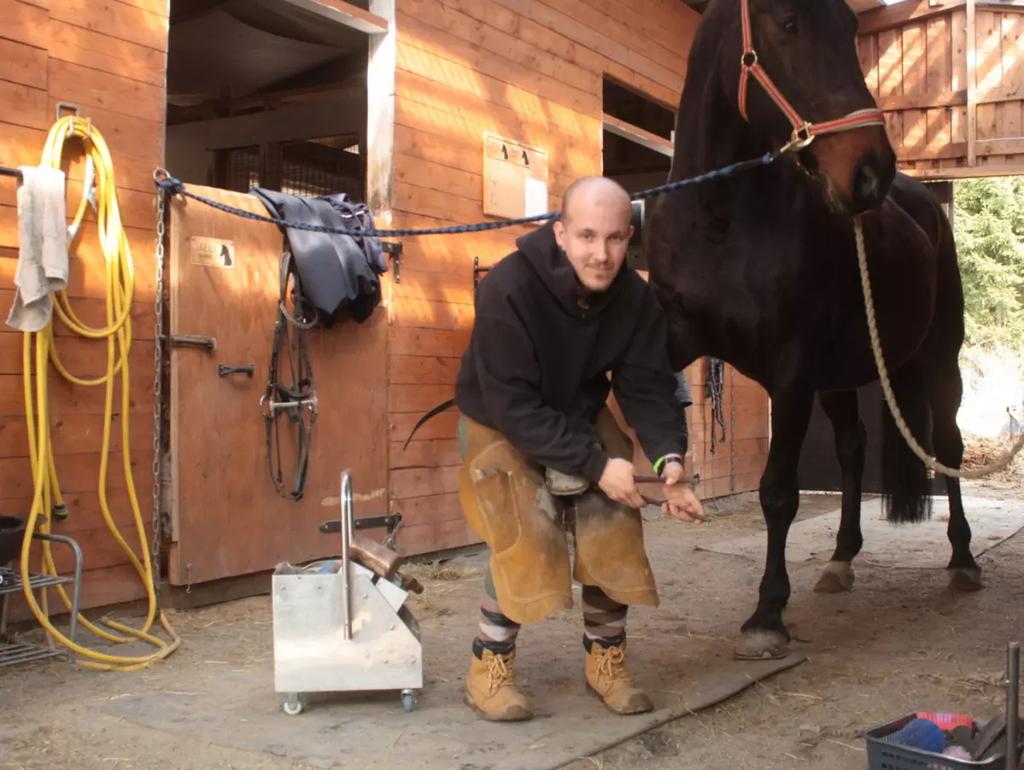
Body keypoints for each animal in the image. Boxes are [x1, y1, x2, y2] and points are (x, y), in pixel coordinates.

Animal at [643, 0, 978, 663]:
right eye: (788, 23)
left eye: (850, 28)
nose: (870, 171)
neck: (722, 221)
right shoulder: (676, 337)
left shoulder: (791, 371)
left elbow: (778, 491)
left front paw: (767, 615)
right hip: (842, 376)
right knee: (853, 451)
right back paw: (841, 559)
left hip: (937, 361)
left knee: (947, 447)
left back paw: (962, 559)